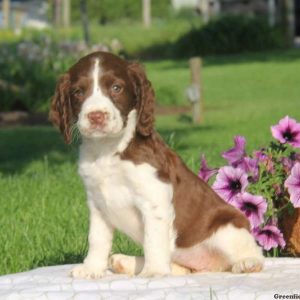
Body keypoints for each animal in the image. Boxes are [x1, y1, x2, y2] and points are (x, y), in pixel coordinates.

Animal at [49, 51, 264, 278]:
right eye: (78, 92)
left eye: (116, 88)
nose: (96, 116)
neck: (108, 150)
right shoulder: (97, 203)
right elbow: (97, 238)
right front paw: (92, 268)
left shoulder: (154, 198)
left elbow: (153, 239)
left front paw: (153, 272)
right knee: (182, 267)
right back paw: (123, 261)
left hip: (228, 227)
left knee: (252, 252)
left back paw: (248, 263)